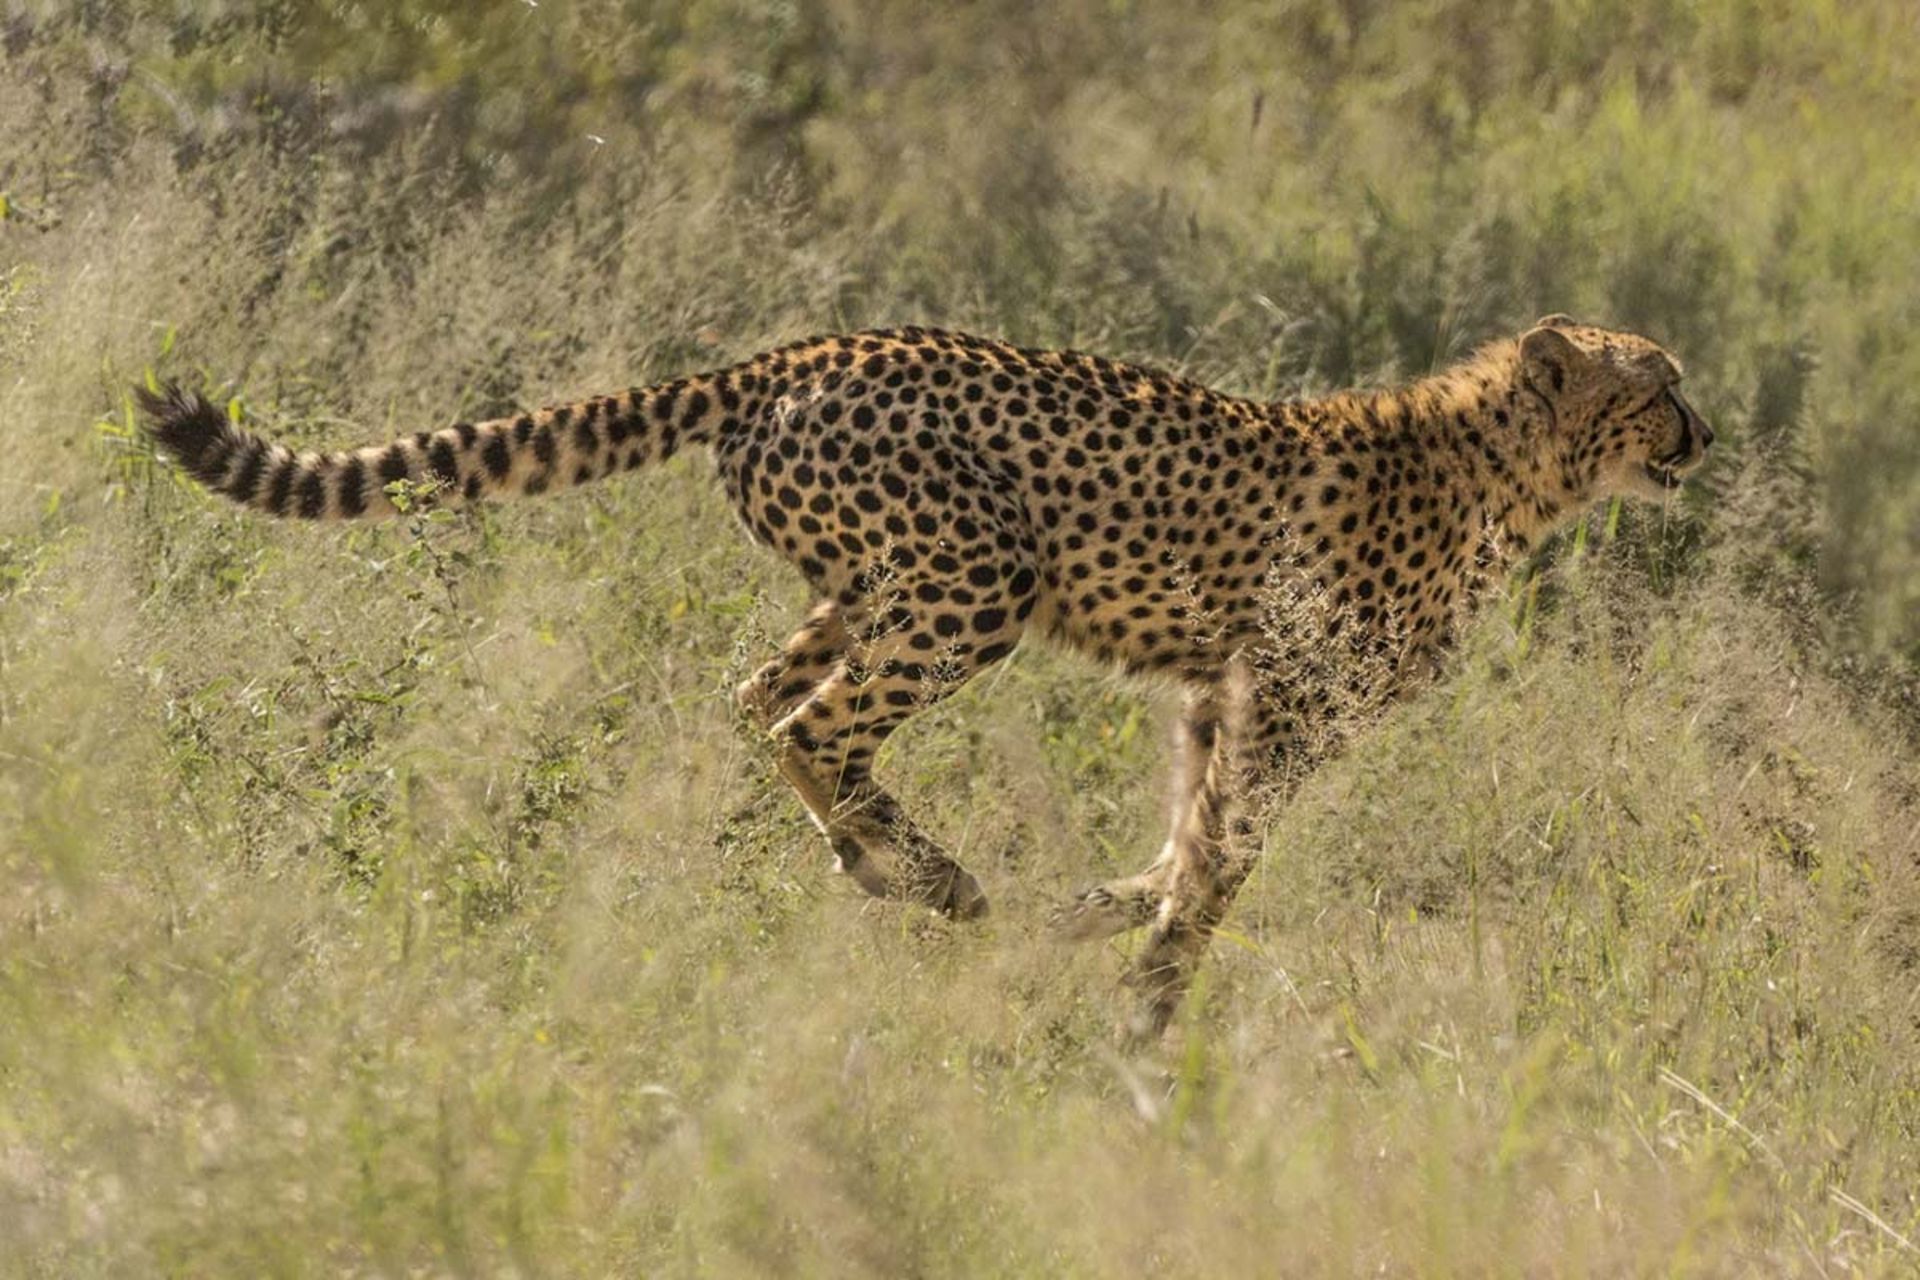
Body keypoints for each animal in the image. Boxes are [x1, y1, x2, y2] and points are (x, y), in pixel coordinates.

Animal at [142, 318, 1720, 1043]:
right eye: (1659, 384)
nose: (1706, 435)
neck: (1512, 471)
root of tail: (803, 345)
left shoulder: (1218, 695)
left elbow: (1187, 834)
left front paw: (1105, 921)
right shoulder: (1285, 702)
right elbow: (1221, 860)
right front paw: (1150, 1004)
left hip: (866, 583)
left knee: (754, 696)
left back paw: (886, 864)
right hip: (976, 581)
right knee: (808, 721)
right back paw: (933, 879)